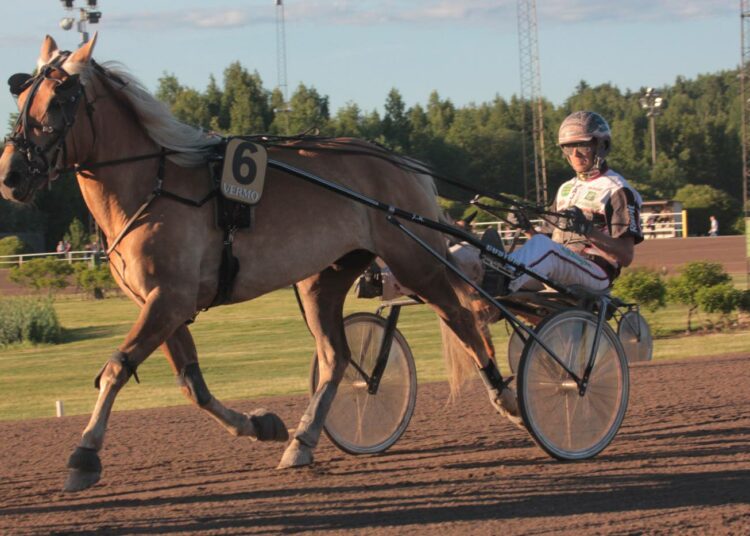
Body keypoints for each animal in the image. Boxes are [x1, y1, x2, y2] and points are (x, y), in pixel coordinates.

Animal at [0, 35, 524, 492]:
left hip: (415, 261)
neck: (153, 185)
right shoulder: (162, 304)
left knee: (460, 318)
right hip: (323, 279)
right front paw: (261, 424)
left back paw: (507, 396)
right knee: (335, 358)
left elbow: (116, 368)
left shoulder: (168, 299)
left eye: (59, 101)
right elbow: (192, 385)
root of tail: (400, 162)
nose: (11, 174)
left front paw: (84, 455)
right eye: (22, 93)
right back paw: (303, 440)